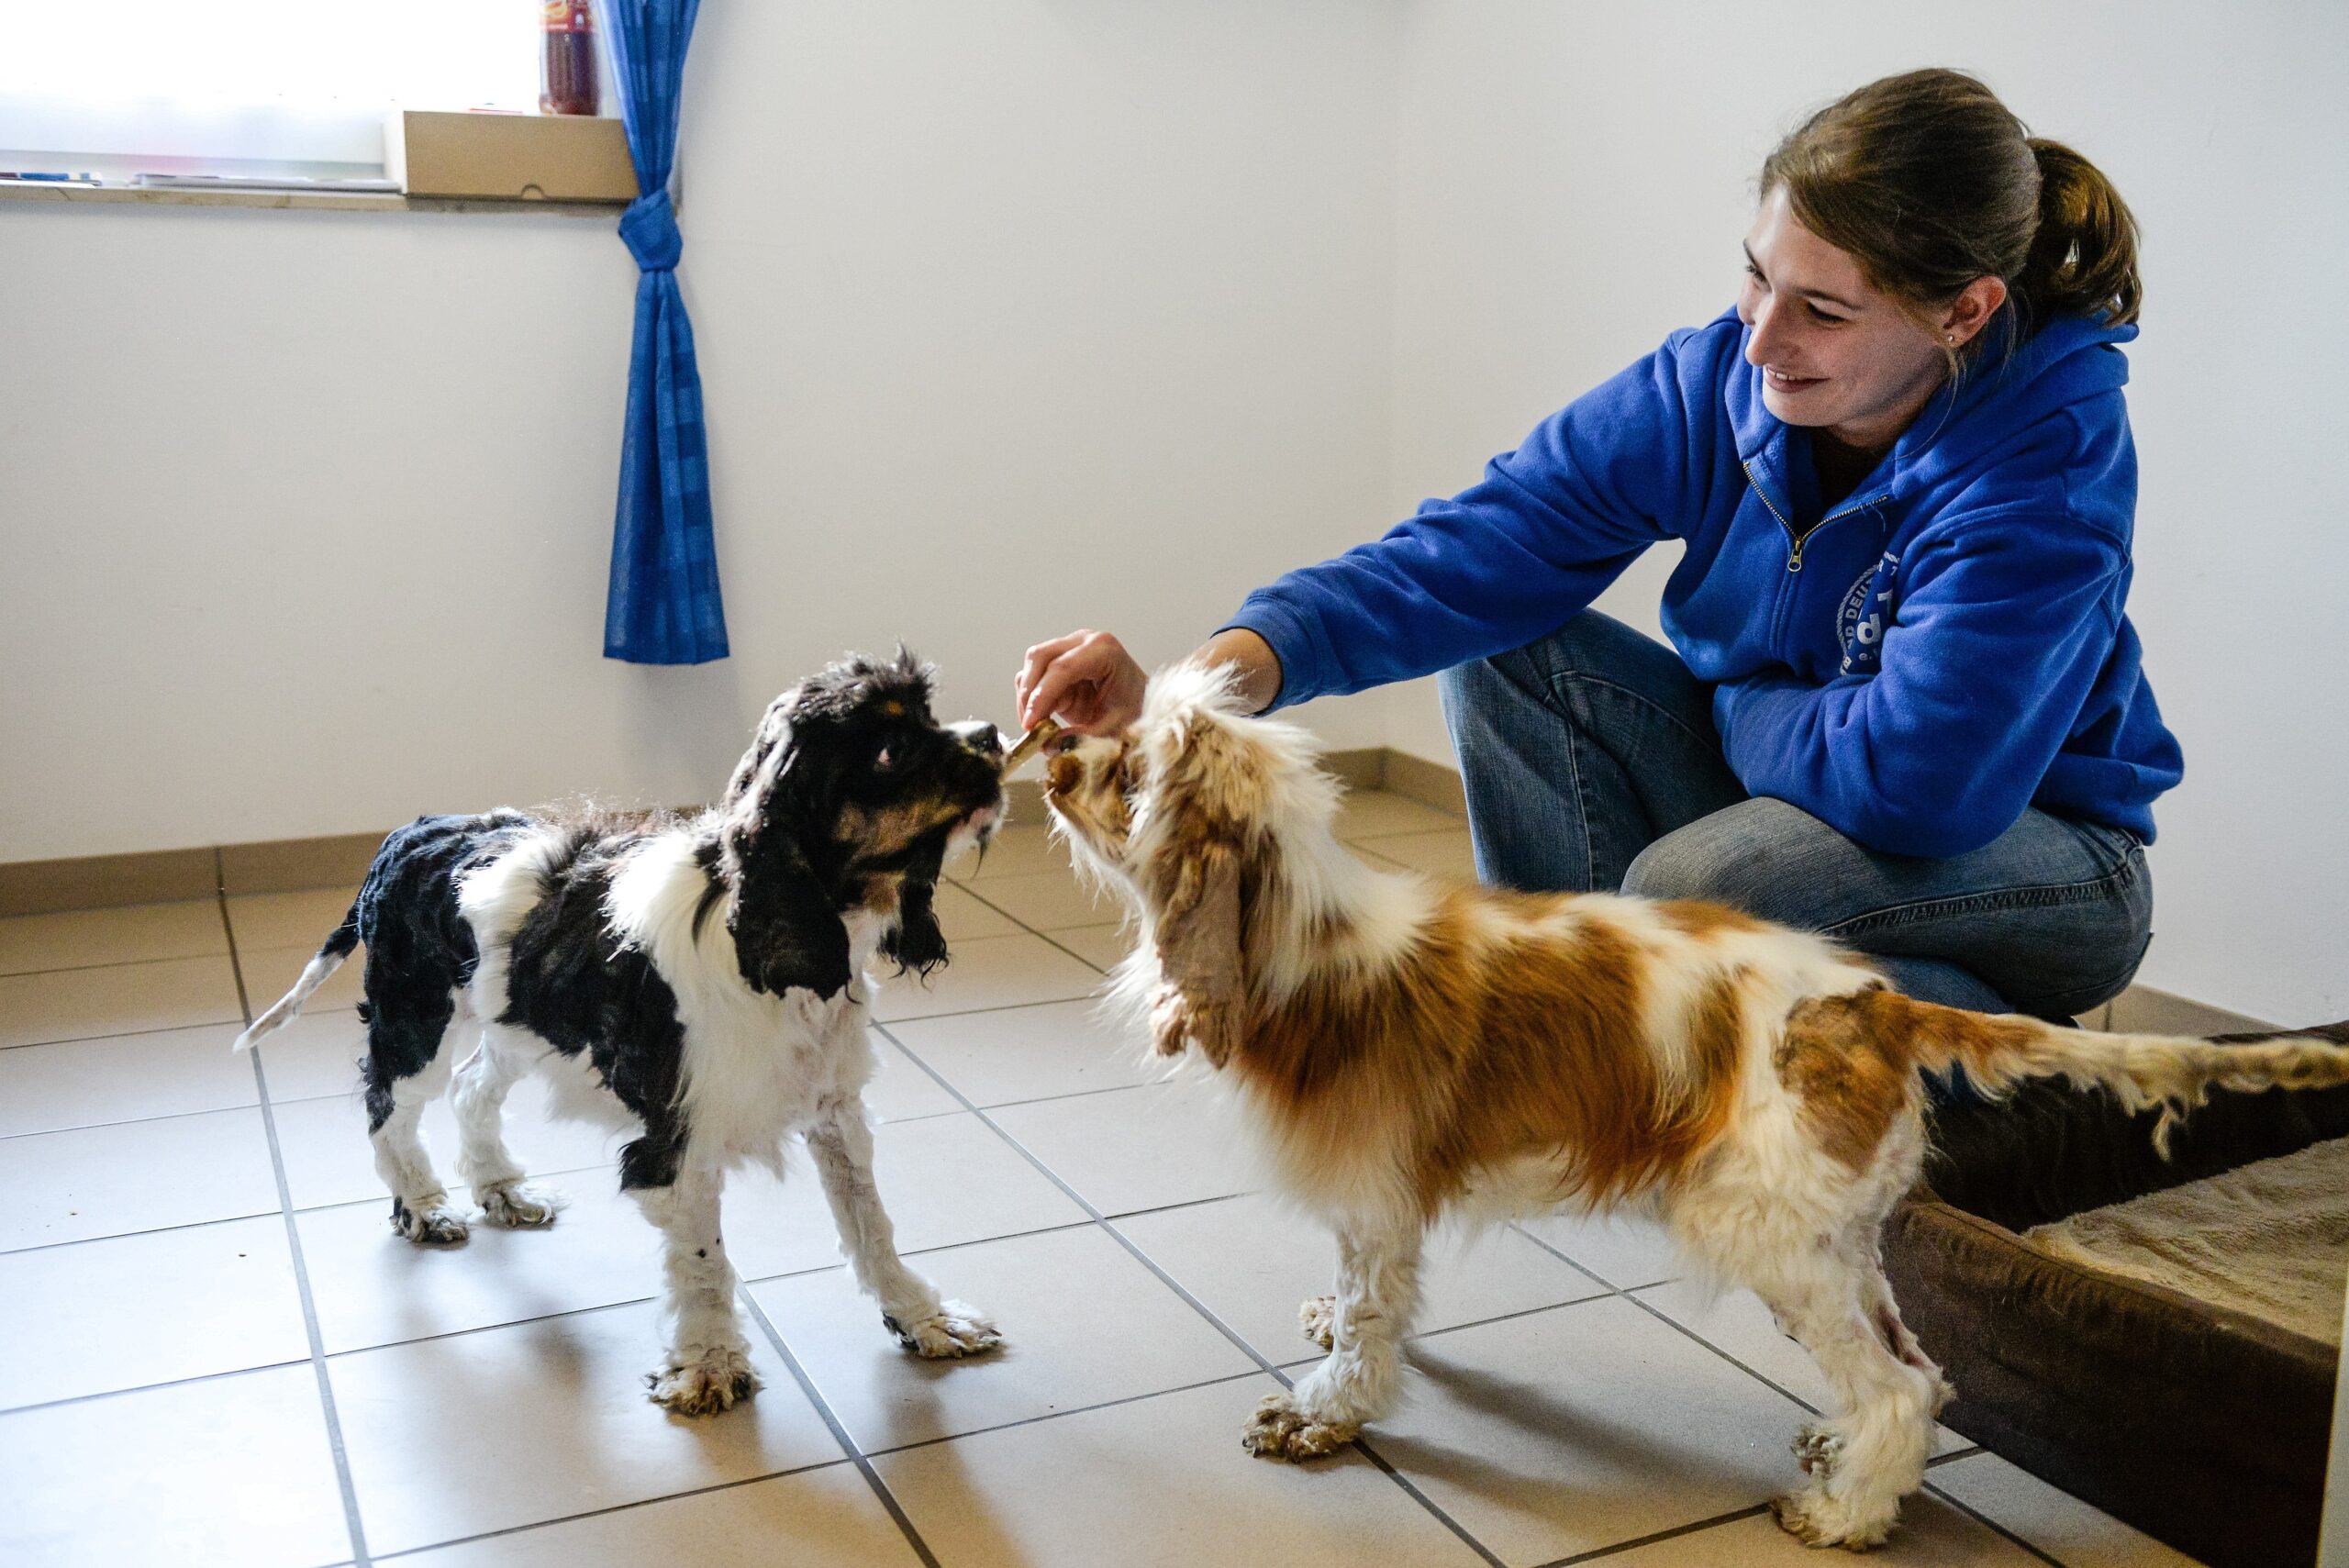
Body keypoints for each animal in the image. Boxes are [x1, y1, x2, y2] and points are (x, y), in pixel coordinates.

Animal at [236, 657, 1009, 1418]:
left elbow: (871, 1226)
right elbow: (705, 1261)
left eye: (931, 714)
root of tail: (404, 836)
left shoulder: (834, 1109)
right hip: (415, 1020)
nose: (996, 735)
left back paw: (502, 1189)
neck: (773, 950)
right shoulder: (678, 1141)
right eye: (889, 749)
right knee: (387, 1108)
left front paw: (925, 1319)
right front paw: (709, 1363)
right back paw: (424, 1207)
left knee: (471, 1089)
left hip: (516, 1019)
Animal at [1047, 657, 2349, 1540]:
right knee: (1917, 1362)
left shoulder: (1374, 1198)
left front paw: (1321, 1413)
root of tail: (1871, 1004)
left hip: (1760, 1229)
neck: (1302, 941)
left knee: (1898, 1386)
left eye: (1130, 771)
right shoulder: (1383, 1207)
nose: (1049, 752)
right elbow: (1365, 1305)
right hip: (1837, 1234)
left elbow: (1371, 1326)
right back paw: (1848, 1456)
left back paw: (1847, 1512)